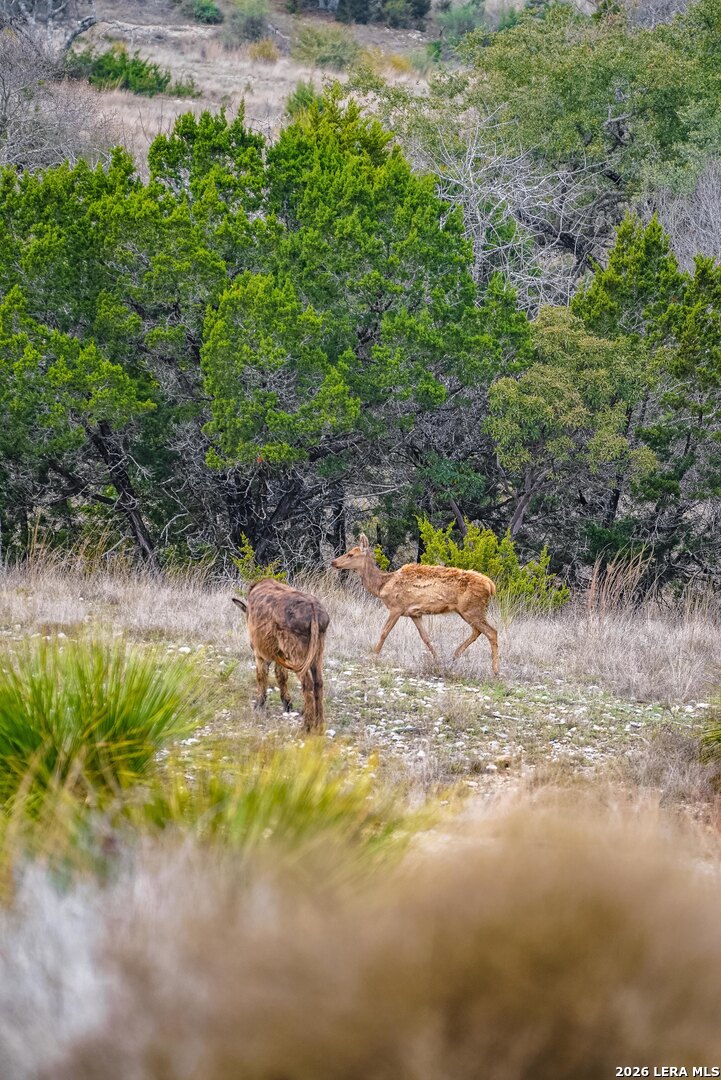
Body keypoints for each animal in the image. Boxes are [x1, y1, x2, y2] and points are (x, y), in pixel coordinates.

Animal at [232, 579, 330, 733]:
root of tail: (312, 608)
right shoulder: (280, 655)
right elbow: (281, 676)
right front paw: (287, 704)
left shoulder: (259, 654)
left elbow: (261, 676)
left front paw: (259, 705)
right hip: (316, 652)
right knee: (318, 683)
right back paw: (319, 725)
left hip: (297, 654)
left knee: (307, 684)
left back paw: (306, 726)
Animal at [331, 534, 499, 674]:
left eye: (351, 554)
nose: (334, 562)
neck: (382, 586)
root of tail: (491, 585)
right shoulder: (415, 613)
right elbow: (426, 638)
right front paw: (438, 660)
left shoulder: (397, 607)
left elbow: (384, 632)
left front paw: (373, 656)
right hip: (465, 610)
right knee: (477, 631)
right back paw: (454, 655)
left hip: (471, 608)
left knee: (491, 632)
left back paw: (495, 671)